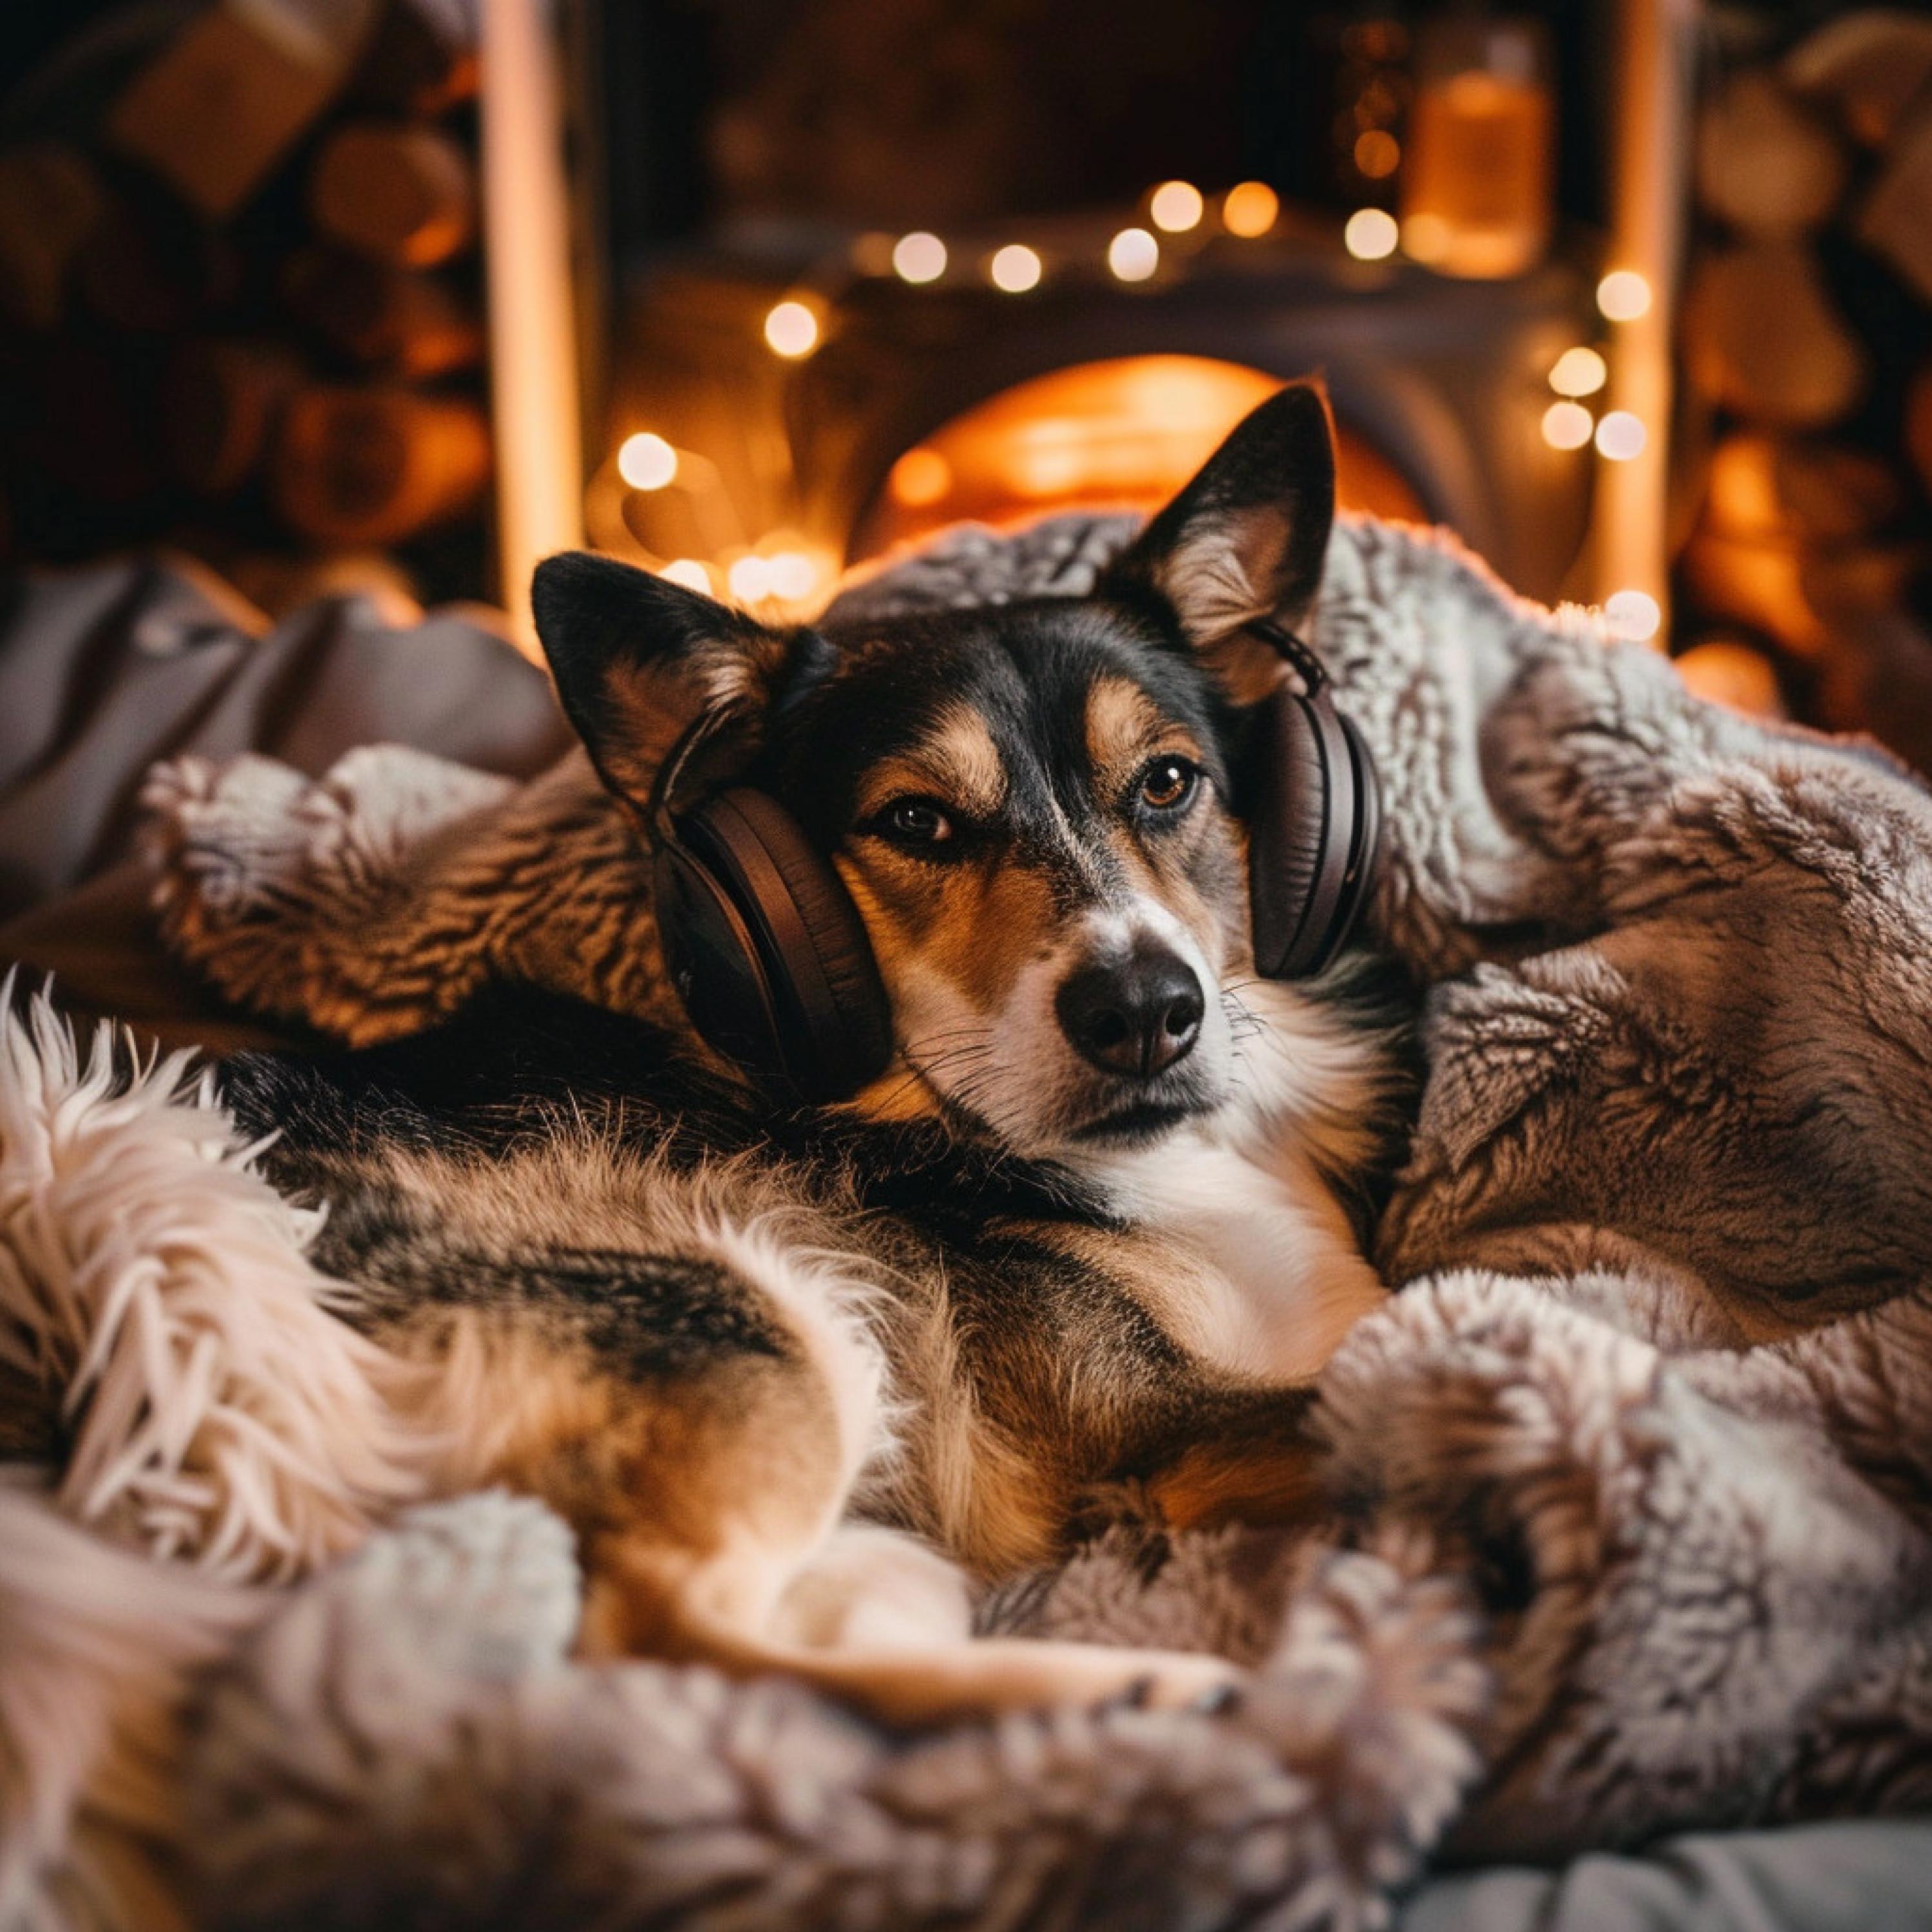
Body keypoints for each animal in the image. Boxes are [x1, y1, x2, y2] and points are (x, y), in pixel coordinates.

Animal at [219, 381, 1414, 1723]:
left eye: (1167, 782)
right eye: (917, 823)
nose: (1148, 1009)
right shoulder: (1151, 1428)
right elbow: (1356, 1399)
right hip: (733, 1310)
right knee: (659, 1633)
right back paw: (1129, 1690)